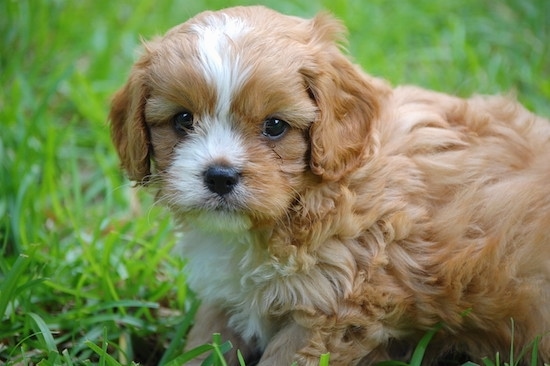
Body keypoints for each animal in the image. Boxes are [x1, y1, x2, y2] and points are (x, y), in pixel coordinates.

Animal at [109, 5, 550, 366]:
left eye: (274, 126)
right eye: (183, 120)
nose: (219, 176)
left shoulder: (332, 312)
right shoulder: (226, 295)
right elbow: (204, 344)